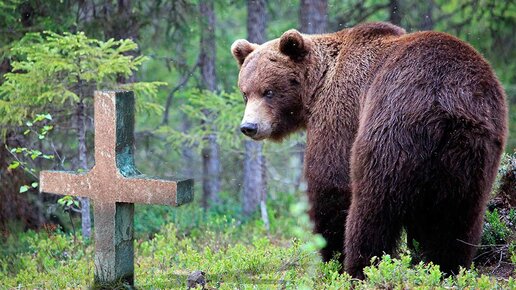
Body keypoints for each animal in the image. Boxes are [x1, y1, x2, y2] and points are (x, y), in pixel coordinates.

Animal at [231, 21, 508, 278]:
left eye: (268, 91)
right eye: (245, 92)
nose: (249, 126)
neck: (317, 86)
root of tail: (446, 101)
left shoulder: (342, 111)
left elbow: (331, 182)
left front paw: (331, 256)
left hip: (391, 127)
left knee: (374, 206)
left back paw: (361, 268)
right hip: (472, 148)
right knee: (459, 215)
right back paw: (447, 268)